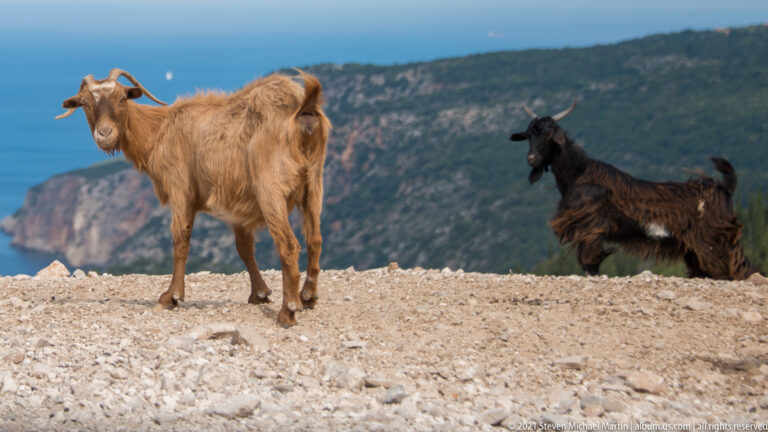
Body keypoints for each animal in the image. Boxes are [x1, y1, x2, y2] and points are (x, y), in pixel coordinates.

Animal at [57, 68, 330, 326]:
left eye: (122, 97)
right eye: (85, 103)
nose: (105, 133)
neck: (159, 131)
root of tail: (302, 108)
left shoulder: (180, 188)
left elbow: (181, 237)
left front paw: (171, 297)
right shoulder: (235, 206)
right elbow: (244, 248)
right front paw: (260, 293)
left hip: (270, 188)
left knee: (289, 244)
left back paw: (288, 310)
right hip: (314, 183)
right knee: (314, 238)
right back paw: (308, 296)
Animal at [510, 100, 761, 280]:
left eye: (549, 135)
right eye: (529, 135)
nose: (532, 159)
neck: (578, 173)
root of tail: (724, 187)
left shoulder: (591, 227)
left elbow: (590, 262)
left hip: (715, 242)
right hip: (695, 249)